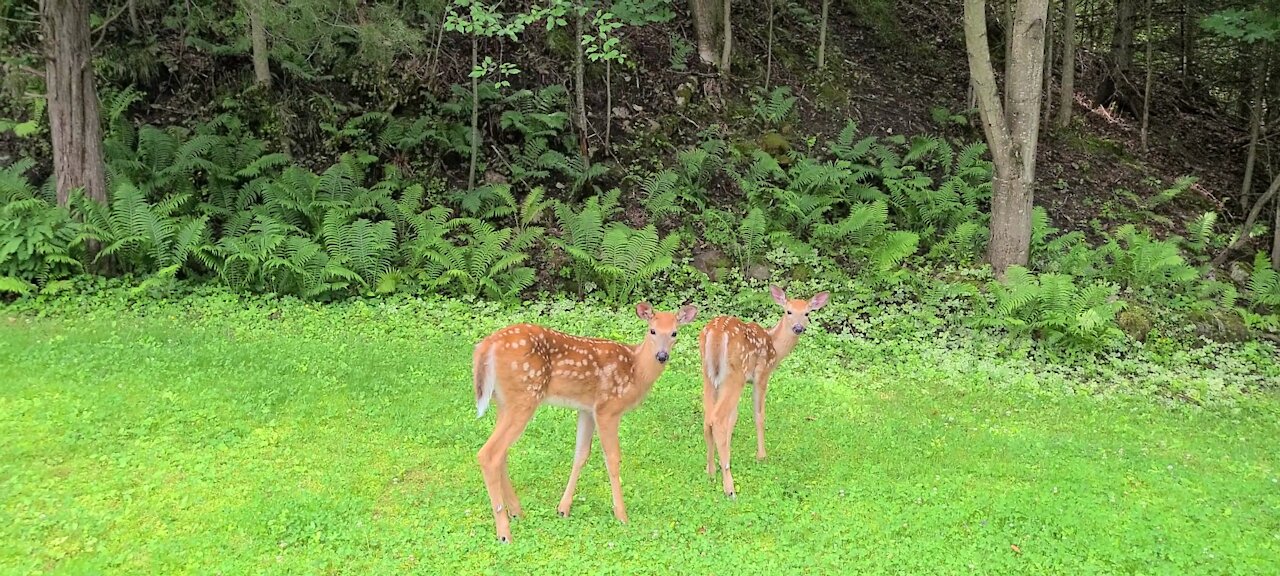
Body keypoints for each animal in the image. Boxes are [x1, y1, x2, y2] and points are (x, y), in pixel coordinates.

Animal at [468, 302, 696, 545]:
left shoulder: (586, 409)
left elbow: (581, 454)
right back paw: (504, 532)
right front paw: (621, 514)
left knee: (501, 453)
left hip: (504, 402)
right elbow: (612, 458)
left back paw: (517, 512)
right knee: (489, 453)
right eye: (652, 330)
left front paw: (563, 508)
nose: (662, 355)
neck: (635, 370)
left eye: (674, 333)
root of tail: (486, 346)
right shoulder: (608, 408)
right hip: (524, 396)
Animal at [701, 285, 829, 496]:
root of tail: (716, 334)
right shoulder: (761, 375)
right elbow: (759, 415)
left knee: (708, 418)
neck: (774, 345)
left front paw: (726, 457)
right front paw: (761, 455)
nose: (798, 328)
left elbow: (733, 418)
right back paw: (729, 488)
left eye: (807, 313)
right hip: (734, 375)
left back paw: (710, 471)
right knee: (717, 419)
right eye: (788, 311)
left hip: (709, 376)